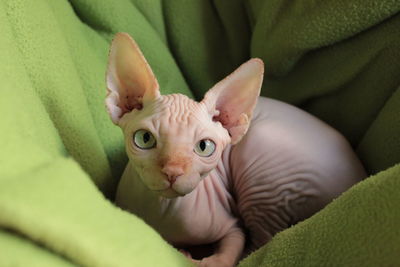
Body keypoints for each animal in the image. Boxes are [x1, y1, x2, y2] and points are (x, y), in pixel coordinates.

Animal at [105, 32, 366, 266]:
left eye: (204, 147)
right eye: (145, 139)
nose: (172, 172)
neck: (163, 212)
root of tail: (358, 177)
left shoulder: (232, 225)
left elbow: (226, 257)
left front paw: (189, 257)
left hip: (262, 169)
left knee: (260, 244)